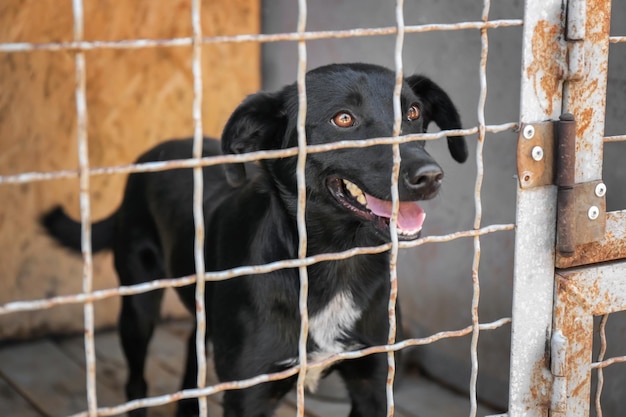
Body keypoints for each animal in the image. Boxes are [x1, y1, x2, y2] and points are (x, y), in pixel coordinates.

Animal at [41, 62, 464, 416]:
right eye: (343, 118)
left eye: (413, 113)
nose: (430, 176)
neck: (336, 263)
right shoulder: (250, 394)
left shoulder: (373, 382)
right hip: (138, 303)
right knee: (136, 382)